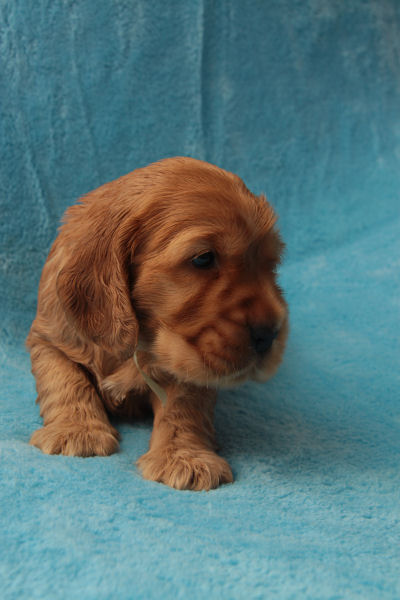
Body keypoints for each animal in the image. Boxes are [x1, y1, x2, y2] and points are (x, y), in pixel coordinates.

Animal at [27, 157, 288, 490]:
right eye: (203, 259)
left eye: (271, 264)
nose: (270, 335)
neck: (140, 339)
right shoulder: (49, 337)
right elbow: (65, 378)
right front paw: (77, 430)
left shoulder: (190, 361)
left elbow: (183, 407)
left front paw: (185, 458)